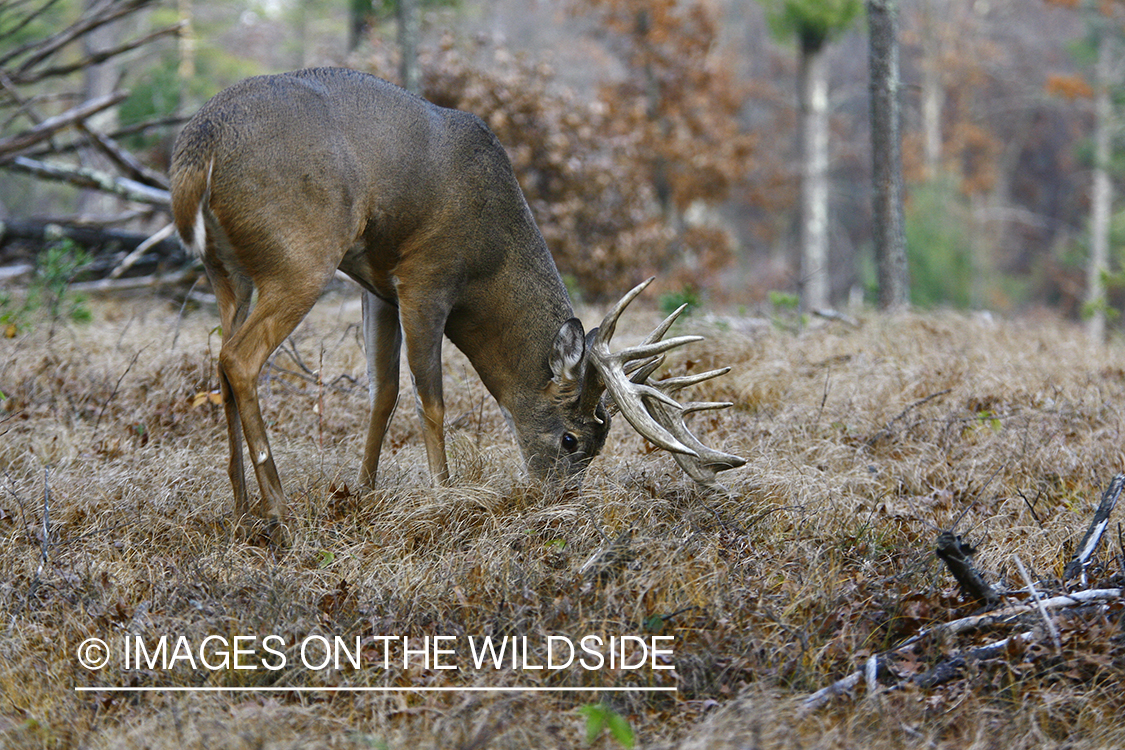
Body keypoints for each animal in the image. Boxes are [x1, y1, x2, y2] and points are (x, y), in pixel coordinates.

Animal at [168, 67, 747, 537]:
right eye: (572, 441)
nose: (560, 501)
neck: (488, 257)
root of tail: (198, 154)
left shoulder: (377, 284)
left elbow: (384, 390)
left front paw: (364, 492)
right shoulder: (426, 275)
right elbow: (432, 399)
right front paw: (446, 494)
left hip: (227, 272)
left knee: (221, 359)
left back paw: (241, 505)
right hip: (301, 254)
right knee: (241, 358)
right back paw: (279, 511)